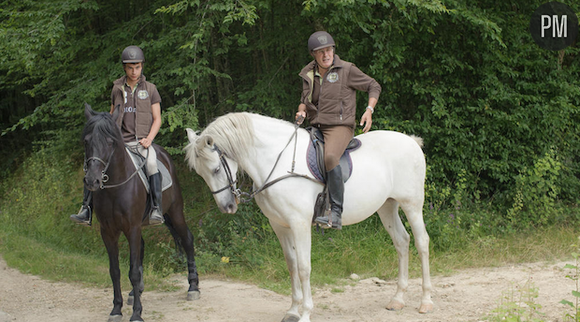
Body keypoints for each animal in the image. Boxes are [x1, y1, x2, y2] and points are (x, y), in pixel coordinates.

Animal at [81, 104, 199, 322]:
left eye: (110, 142)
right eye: (86, 141)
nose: (92, 180)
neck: (115, 188)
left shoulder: (132, 228)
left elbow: (134, 271)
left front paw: (136, 313)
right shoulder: (108, 231)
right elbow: (115, 270)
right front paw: (116, 309)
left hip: (175, 212)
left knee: (187, 238)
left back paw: (193, 286)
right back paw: (135, 293)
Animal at [184, 112, 432, 320]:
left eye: (216, 169)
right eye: (200, 173)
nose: (227, 206)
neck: (279, 162)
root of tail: (411, 141)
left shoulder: (300, 224)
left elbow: (304, 268)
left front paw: (305, 314)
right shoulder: (280, 226)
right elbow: (292, 265)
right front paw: (293, 311)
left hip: (412, 205)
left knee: (421, 242)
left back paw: (425, 301)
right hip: (387, 206)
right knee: (402, 241)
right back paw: (397, 299)